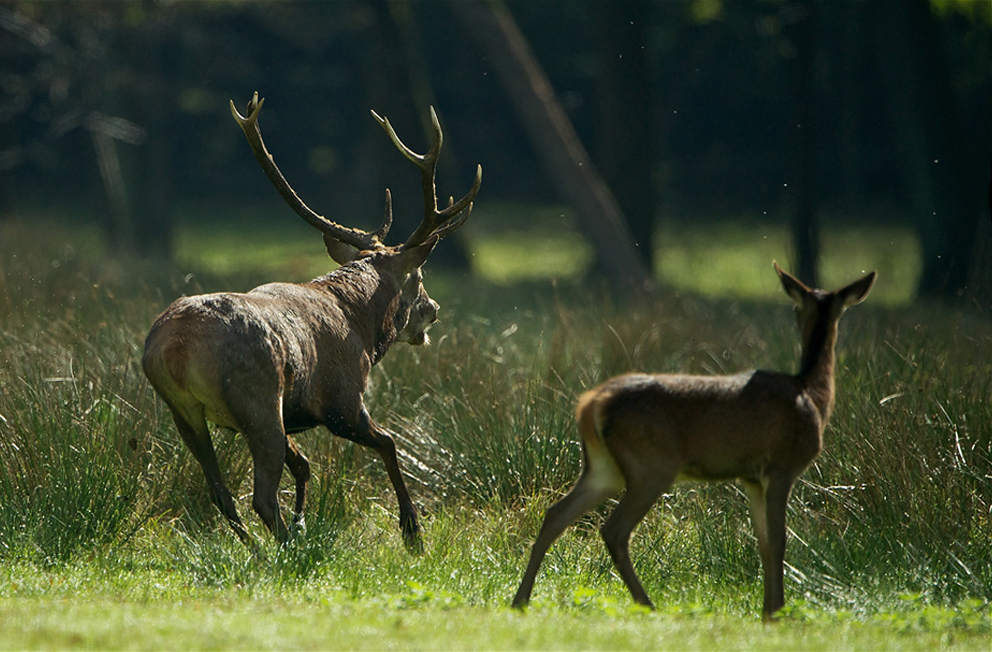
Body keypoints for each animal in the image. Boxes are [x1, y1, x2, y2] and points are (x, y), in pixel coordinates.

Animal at [142, 92, 481, 550]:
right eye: (419, 277)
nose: (434, 310)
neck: (363, 328)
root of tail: (175, 350)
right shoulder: (342, 401)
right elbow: (390, 444)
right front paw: (412, 530)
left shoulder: (295, 413)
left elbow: (304, 467)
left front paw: (305, 521)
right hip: (258, 400)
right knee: (261, 496)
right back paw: (285, 551)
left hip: (184, 411)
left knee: (221, 492)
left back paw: (261, 549)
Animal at [512, 263, 875, 620]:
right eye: (795, 307)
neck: (813, 396)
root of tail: (591, 404)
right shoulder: (781, 466)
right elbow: (779, 539)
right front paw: (777, 612)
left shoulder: (751, 478)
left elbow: (762, 542)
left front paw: (766, 610)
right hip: (651, 465)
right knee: (613, 529)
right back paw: (647, 604)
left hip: (603, 468)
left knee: (555, 514)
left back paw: (521, 600)